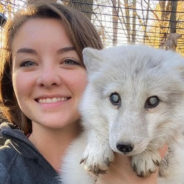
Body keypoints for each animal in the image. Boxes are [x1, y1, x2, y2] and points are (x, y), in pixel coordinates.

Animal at [61, 45, 184, 184]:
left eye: (153, 101)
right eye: (114, 98)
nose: (124, 147)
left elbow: (165, 140)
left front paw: (146, 154)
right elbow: (96, 129)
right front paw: (97, 150)